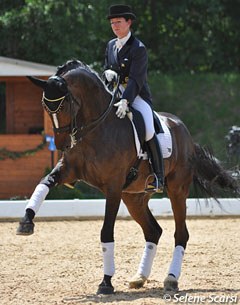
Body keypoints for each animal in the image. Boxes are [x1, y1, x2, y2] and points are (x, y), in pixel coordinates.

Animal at [16, 59, 238, 294]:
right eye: (45, 107)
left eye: (64, 105)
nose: (62, 144)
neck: (96, 127)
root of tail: (186, 134)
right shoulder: (67, 171)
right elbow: (43, 184)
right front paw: (26, 222)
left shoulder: (113, 187)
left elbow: (106, 232)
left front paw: (106, 282)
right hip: (134, 197)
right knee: (153, 231)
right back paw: (140, 277)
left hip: (177, 190)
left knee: (181, 234)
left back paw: (171, 278)